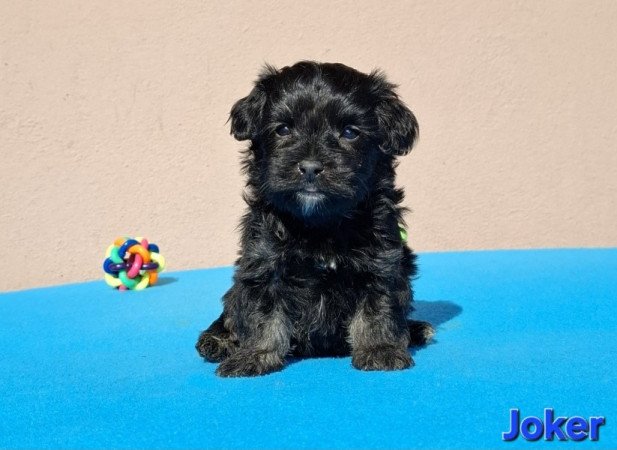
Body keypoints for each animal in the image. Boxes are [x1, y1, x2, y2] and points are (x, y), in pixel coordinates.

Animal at [197, 60, 434, 376]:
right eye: (283, 129)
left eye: (350, 132)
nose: (310, 167)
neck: (321, 224)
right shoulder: (264, 262)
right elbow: (261, 314)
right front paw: (255, 355)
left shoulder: (381, 261)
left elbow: (378, 306)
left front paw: (379, 349)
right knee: (231, 311)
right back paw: (217, 340)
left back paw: (415, 329)